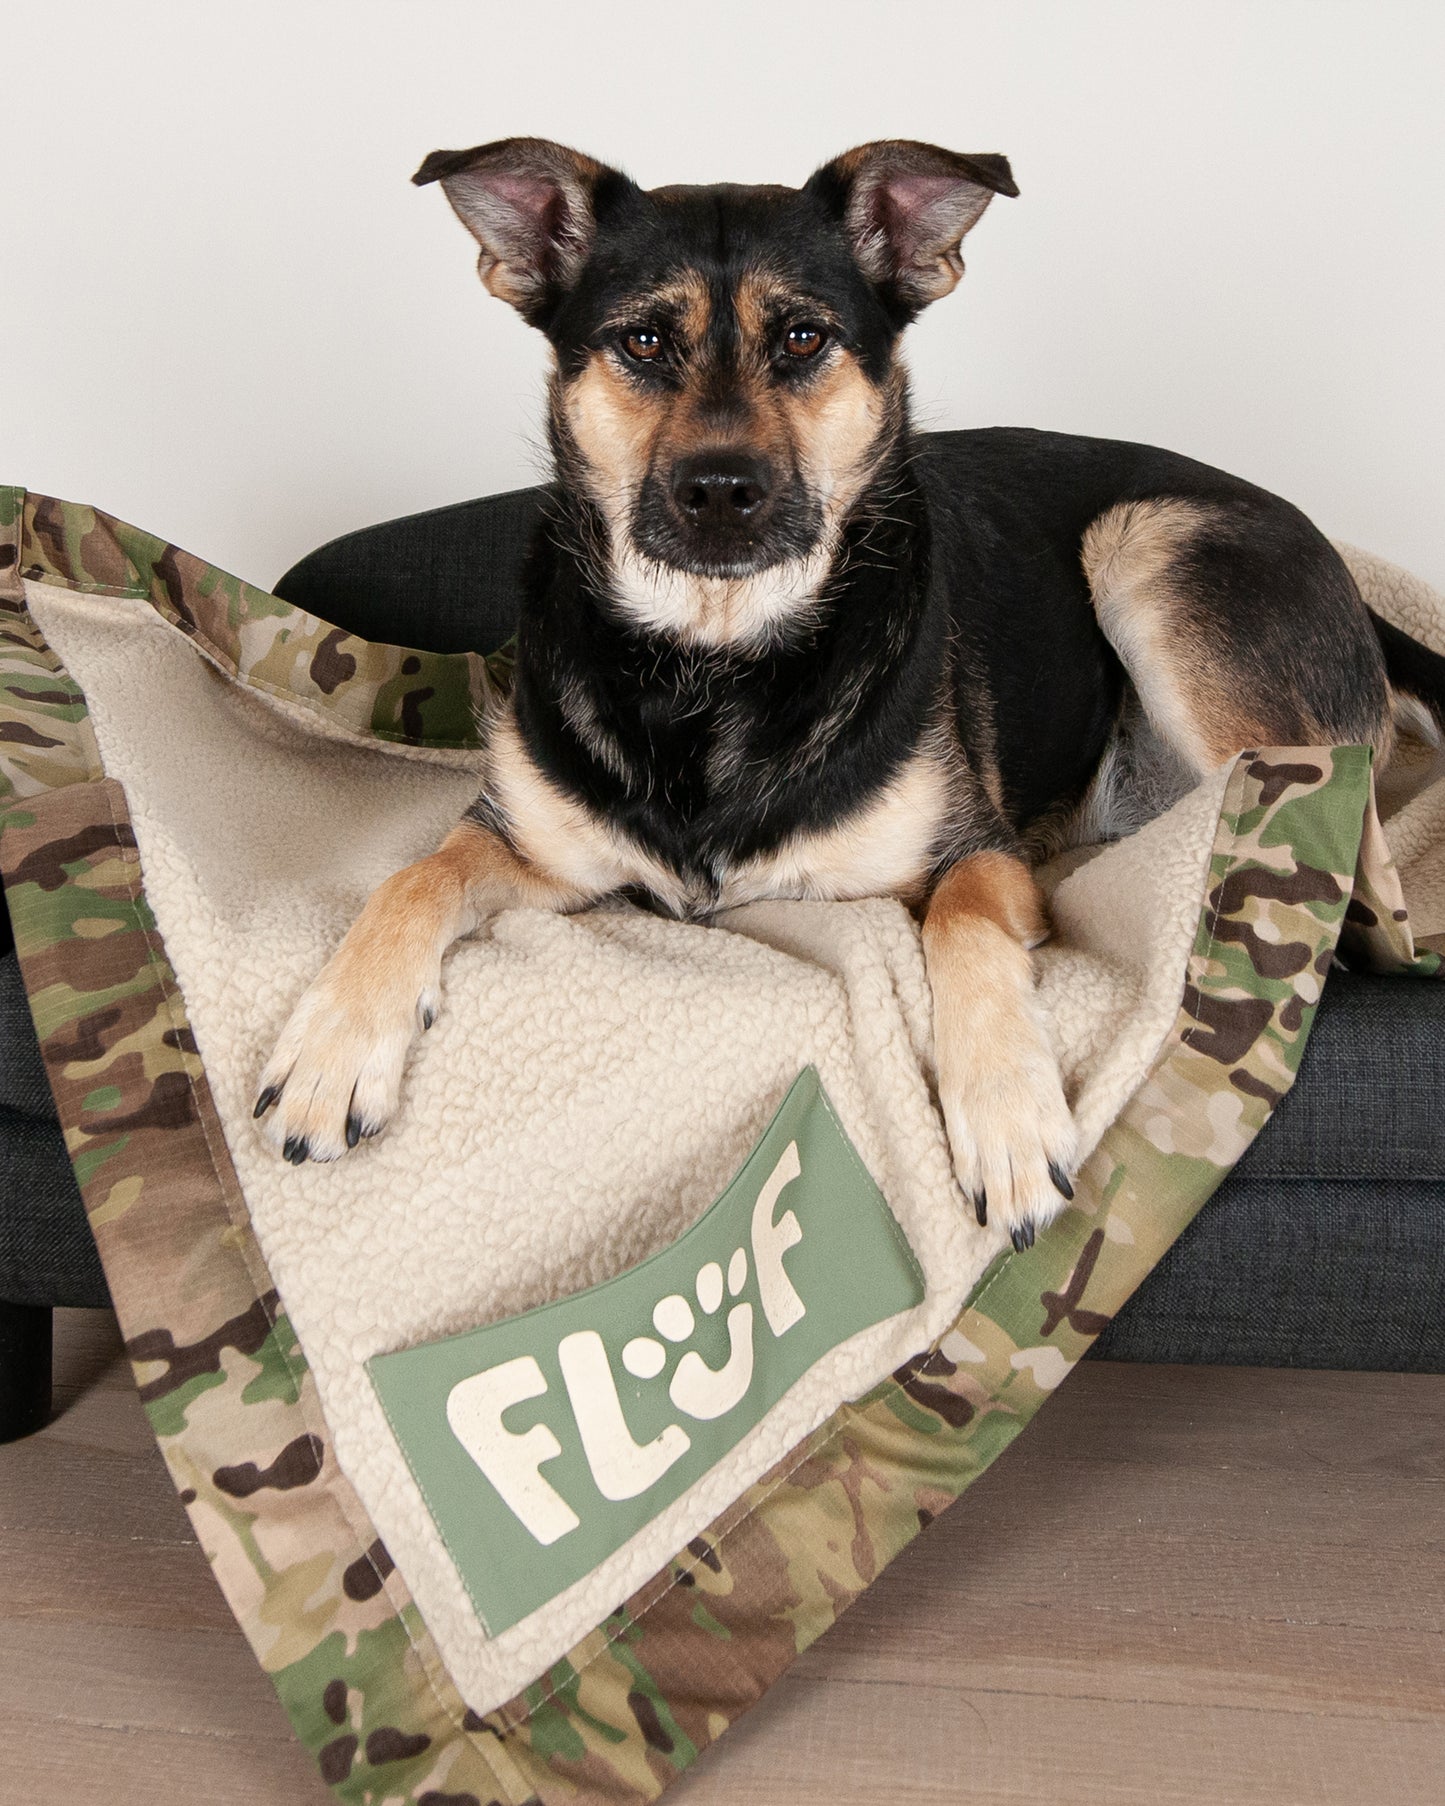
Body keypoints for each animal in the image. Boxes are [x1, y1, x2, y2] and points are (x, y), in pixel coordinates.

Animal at [254, 133, 1445, 1249]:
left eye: (802, 338)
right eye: (642, 341)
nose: (720, 490)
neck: (715, 662)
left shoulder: (976, 856)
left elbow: (959, 918)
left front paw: (1006, 1117)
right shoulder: (532, 849)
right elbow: (413, 876)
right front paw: (330, 1046)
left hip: (1143, 545)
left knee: (1354, 857)